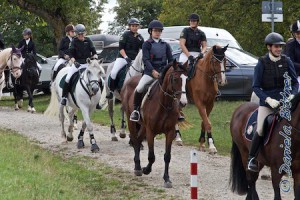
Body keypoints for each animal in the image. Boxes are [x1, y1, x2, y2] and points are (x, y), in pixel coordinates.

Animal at [120, 60, 186, 188]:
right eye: (175, 79)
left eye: (187, 79)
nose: (183, 102)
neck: (165, 104)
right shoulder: (151, 131)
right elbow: (151, 156)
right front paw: (146, 169)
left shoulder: (170, 132)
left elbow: (167, 156)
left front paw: (167, 179)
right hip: (132, 122)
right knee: (135, 140)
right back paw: (138, 167)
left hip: (143, 127)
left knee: (138, 140)